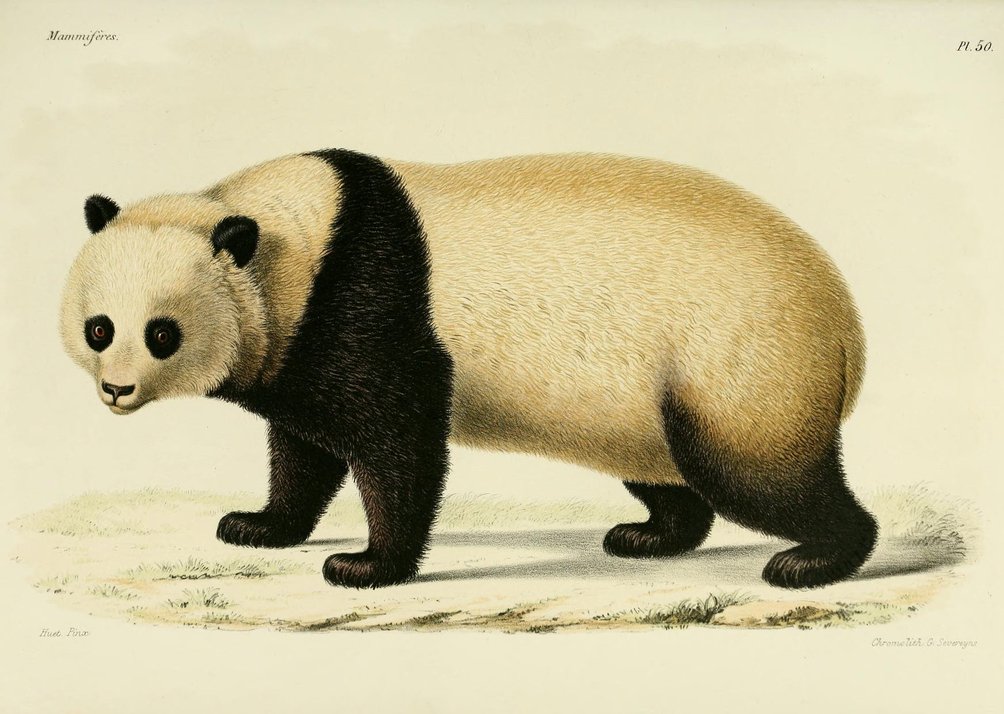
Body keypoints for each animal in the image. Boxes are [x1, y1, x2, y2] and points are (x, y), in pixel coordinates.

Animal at [60, 149, 877, 590]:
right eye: (99, 327)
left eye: (161, 333)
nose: (116, 389)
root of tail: (845, 328)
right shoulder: (290, 341)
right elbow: (303, 446)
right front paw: (259, 524)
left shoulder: (362, 297)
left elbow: (397, 433)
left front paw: (365, 565)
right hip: (636, 403)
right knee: (666, 469)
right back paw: (649, 534)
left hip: (734, 360)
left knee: (755, 472)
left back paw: (814, 558)